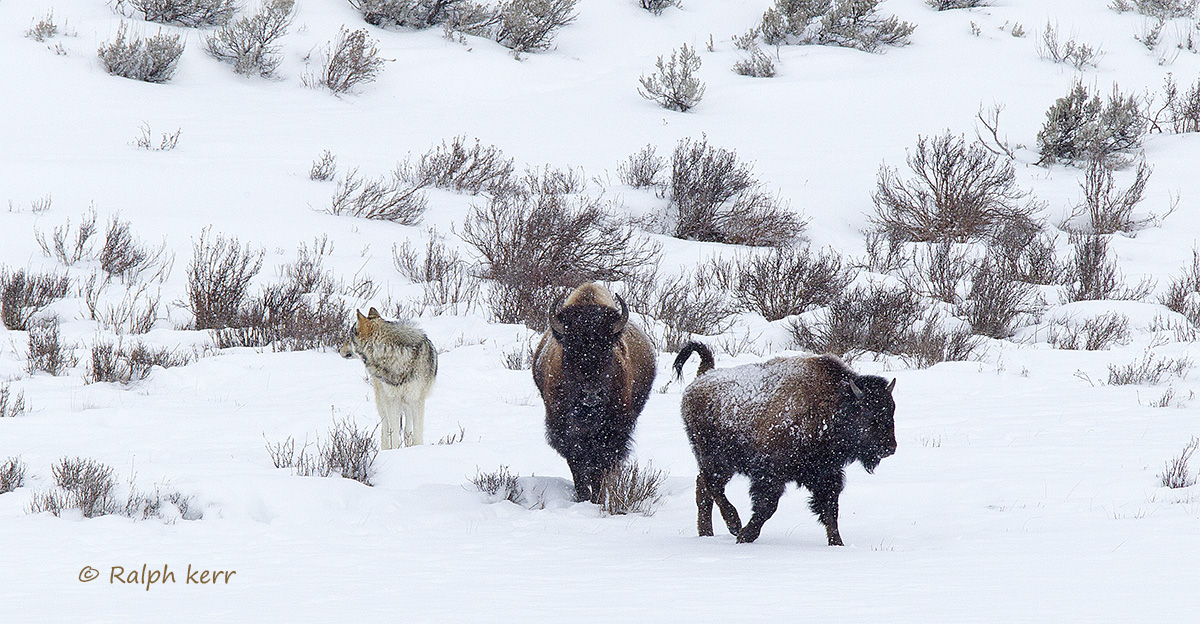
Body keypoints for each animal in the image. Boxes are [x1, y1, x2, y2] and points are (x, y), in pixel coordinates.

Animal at [339, 308, 437, 449]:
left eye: (349, 338)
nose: (339, 349)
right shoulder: (392, 400)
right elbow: (394, 432)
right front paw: (395, 451)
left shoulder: (417, 400)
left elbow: (417, 433)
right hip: (382, 401)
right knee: (385, 429)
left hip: (407, 403)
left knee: (407, 429)